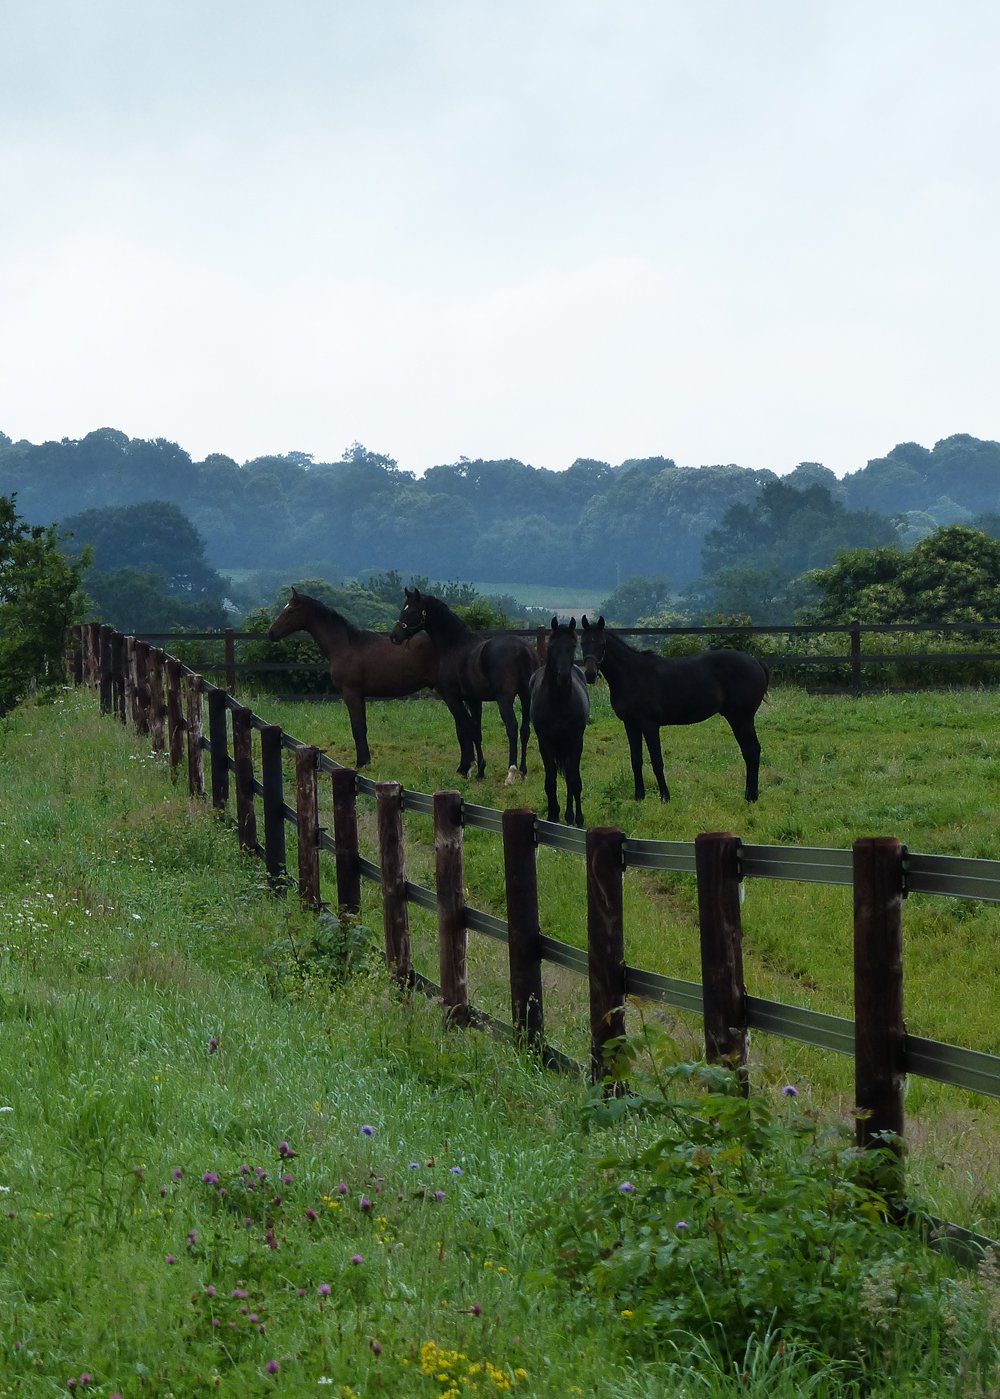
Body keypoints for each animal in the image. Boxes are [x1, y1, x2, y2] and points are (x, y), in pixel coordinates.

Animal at [267, 587, 439, 768]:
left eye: (290, 611)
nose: (271, 633)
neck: (346, 645)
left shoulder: (352, 693)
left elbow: (358, 728)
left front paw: (361, 762)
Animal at [390, 587, 539, 783]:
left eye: (411, 611)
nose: (394, 636)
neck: (455, 645)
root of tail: (522, 649)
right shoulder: (473, 700)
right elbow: (476, 729)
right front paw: (477, 769)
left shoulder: (453, 699)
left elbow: (468, 729)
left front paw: (474, 768)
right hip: (526, 697)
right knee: (525, 730)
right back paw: (523, 771)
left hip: (505, 699)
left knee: (512, 727)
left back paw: (511, 772)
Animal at [529, 617, 590, 826]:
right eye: (553, 646)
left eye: (573, 646)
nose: (563, 676)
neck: (559, 703)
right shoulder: (545, 742)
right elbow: (551, 780)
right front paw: (553, 815)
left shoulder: (576, 740)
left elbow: (574, 780)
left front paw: (579, 818)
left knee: (570, 776)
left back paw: (570, 816)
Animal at [579, 615, 769, 802]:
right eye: (582, 643)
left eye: (602, 644)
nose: (589, 674)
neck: (631, 675)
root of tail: (756, 661)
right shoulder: (631, 724)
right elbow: (636, 760)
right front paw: (639, 797)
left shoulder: (650, 724)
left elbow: (656, 760)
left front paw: (665, 796)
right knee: (749, 750)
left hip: (742, 718)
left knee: (752, 750)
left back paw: (751, 797)